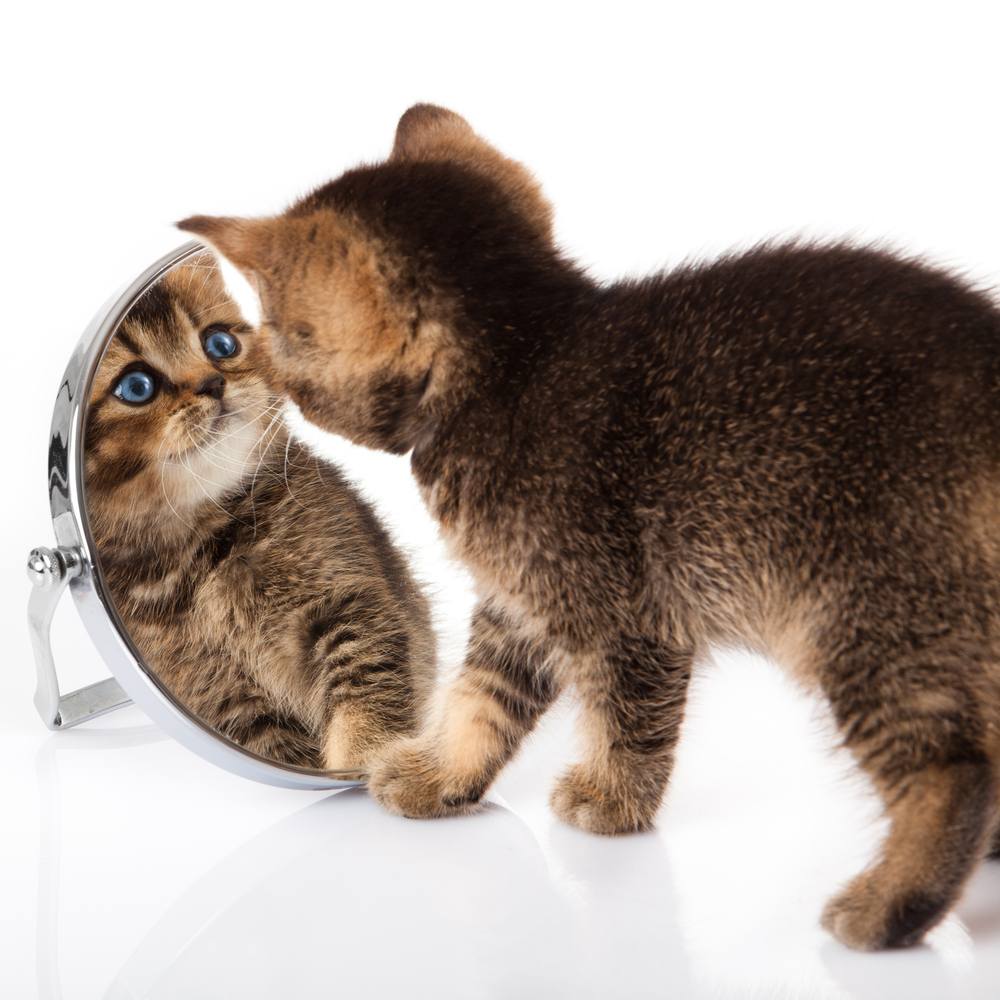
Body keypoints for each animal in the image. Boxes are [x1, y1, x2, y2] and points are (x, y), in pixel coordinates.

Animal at [83, 254, 434, 768]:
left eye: (220, 343)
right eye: (136, 386)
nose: (213, 383)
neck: (205, 551)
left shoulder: (350, 601)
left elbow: (367, 692)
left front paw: (366, 757)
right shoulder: (225, 697)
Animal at [180, 105, 1000, 948]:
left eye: (269, 328)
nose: (251, 368)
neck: (519, 362)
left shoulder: (624, 613)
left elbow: (627, 718)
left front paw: (612, 800)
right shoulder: (518, 605)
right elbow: (481, 699)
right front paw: (443, 777)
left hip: (871, 616)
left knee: (953, 771)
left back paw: (888, 906)